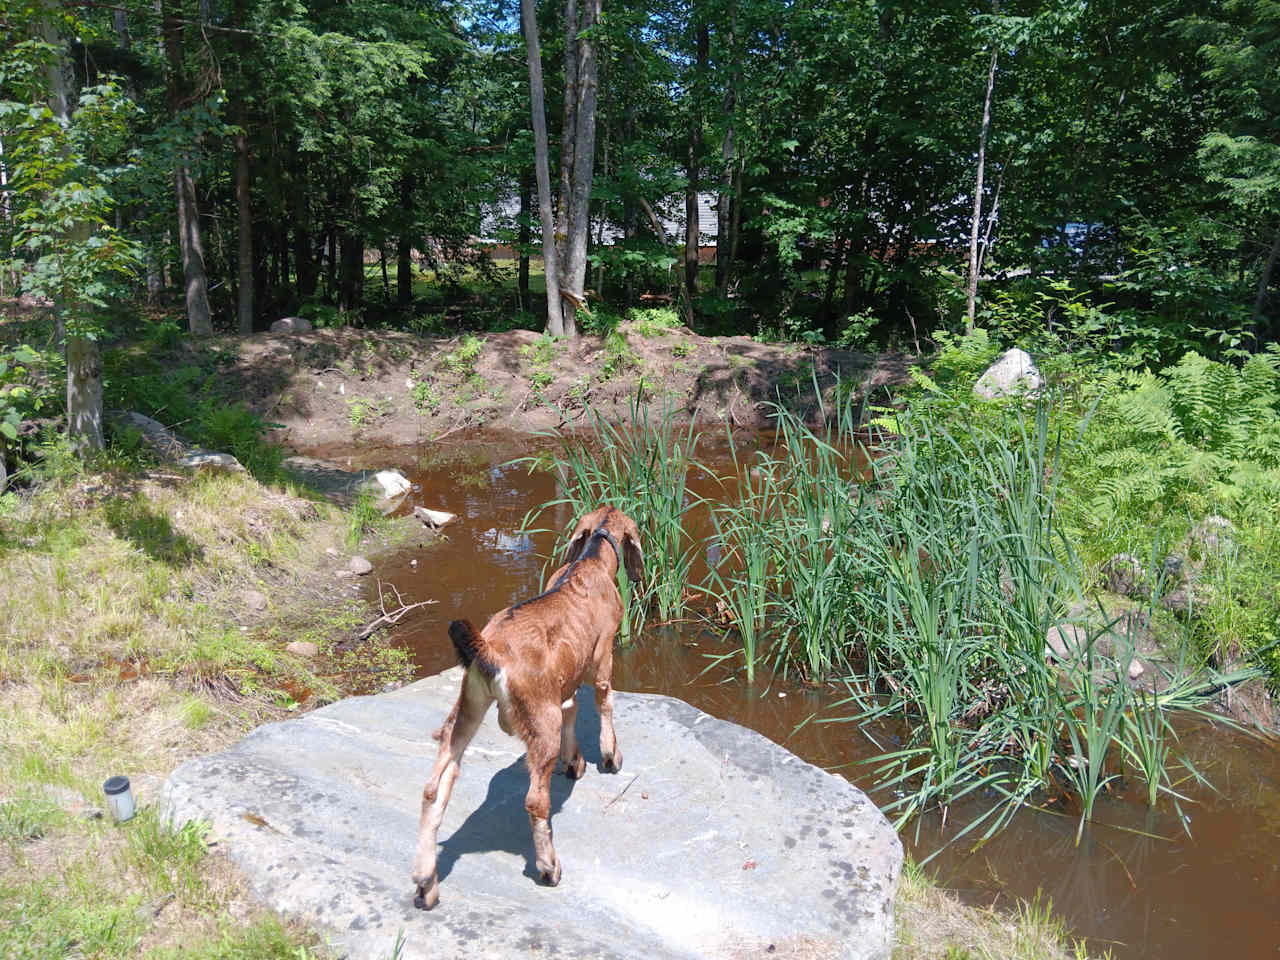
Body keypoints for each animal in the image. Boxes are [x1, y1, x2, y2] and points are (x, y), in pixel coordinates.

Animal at [414, 504, 645, 911]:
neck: (590, 561)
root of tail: (490, 650)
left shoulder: (563, 682)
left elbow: (572, 708)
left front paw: (575, 762)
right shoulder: (603, 655)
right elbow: (604, 701)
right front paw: (610, 756)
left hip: (469, 704)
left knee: (435, 786)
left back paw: (426, 883)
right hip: (539, 718)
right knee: (536, 801)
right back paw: (549, 867)